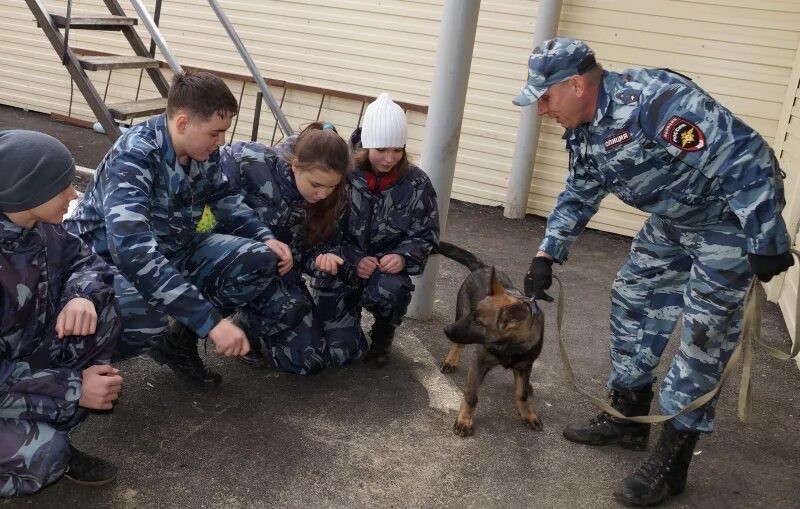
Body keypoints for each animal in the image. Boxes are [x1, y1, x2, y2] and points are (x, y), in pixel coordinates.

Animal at [438, 240, 544, 434]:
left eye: (478, 322)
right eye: (472, 316)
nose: (446, 329)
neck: (508, 346)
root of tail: (483, 267)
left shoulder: (525, 364)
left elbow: (522, 394)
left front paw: (528, 414)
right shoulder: (479, 362)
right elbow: (471, 396)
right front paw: (464, 420)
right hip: (460, 312)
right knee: (458, 344)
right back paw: (451, 361)